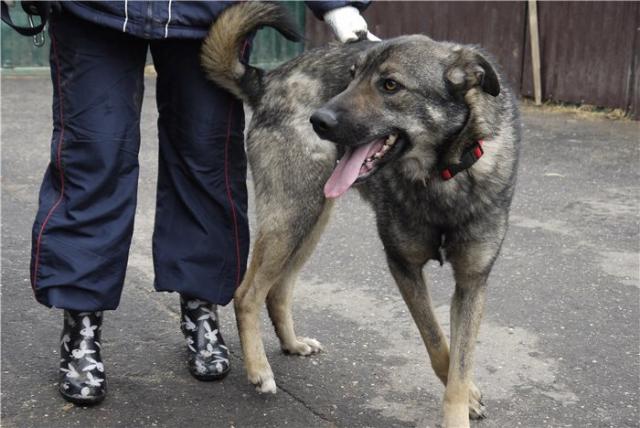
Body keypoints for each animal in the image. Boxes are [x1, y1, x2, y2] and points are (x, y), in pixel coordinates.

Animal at [201, 3, 520, 427]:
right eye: (351, 77)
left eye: (390, 85)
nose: (318, 120)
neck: (440, 175)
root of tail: (269, 79)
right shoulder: (403, 267)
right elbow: (437, 341)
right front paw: (465, 398)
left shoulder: (472, 283)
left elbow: (460, 359)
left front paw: (461, 399)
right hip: (291, 215)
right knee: (246, 293)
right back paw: (259, 369)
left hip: (312, 220)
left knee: (278, 290)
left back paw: (291, 344)